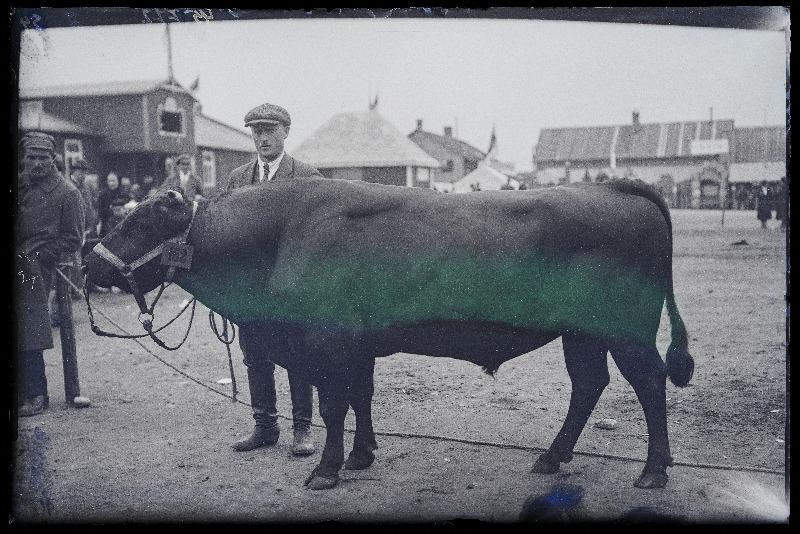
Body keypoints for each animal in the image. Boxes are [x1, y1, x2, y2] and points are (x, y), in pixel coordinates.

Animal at [83, 178, 692, 492]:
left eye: (139, 221)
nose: (89, 264)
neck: (280, 233)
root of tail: (614, 190)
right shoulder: (358, 345)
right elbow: (360, 397)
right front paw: (360, 455)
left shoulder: (326, 341)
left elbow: (333, 404)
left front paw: (326, 469)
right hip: (581, 335)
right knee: (588, 385)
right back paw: (551, 457)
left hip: (625, 334)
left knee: (650, 384)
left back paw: (653, 471)